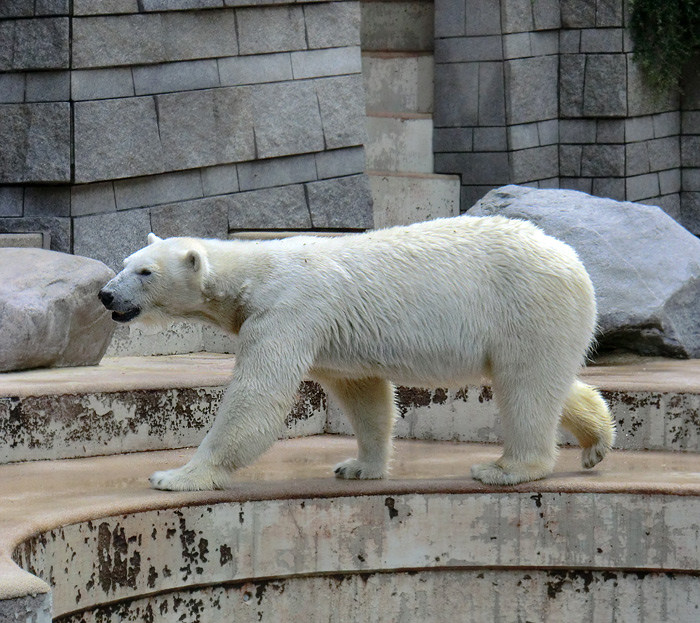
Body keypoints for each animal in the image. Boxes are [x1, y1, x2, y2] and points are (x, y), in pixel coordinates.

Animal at [97, 216, 612, 492]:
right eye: (124, 263)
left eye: (144, 272)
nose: (105, 294)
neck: (255, 271)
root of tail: (571, 258)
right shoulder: (332, 337)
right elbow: (364, 395)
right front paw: (359, 466)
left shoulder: (287, 311)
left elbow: (256, 398)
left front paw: (177, 475)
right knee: (547, 382)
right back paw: (596, 441)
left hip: (525, 305)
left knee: (525, 384)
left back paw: (505, 469)